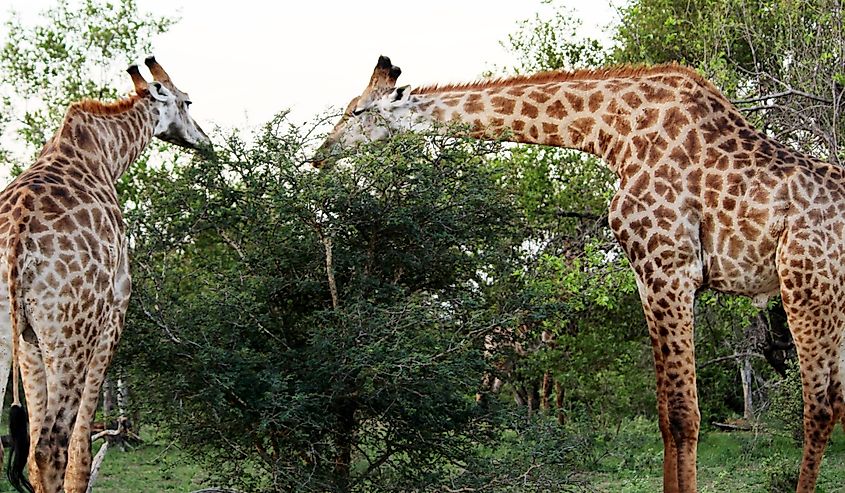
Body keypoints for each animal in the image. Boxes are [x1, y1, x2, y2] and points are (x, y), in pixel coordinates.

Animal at [0, 55, 209, 490]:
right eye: (188, 101)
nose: (205, 141)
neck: (107, 153)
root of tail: (15, 238)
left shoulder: (28, 341)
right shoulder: (114, 313)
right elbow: (82, 448)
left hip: (17, 331)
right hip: (70, 331)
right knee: (51, 446)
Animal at [312, 55, 845, 490]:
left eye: (357, 112)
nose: (321, 154)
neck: (612, 134)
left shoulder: (669, 268)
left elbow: (684, 415)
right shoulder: (650, 277)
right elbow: (665, 415)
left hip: (807, 287)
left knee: (818, 409)